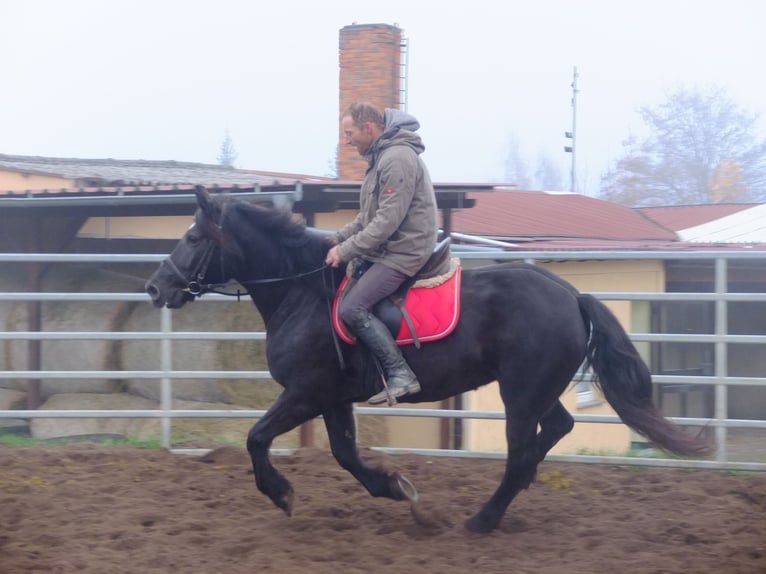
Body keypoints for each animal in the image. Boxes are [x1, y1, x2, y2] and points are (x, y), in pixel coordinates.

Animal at [144, 187, 708, 532]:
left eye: (192, 237)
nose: (155, 287)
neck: (301, 292)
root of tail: (570, 294)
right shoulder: (332, 397)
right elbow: (344, 454)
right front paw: (393, 488)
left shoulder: (305, 392)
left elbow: (256, 438)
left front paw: (281, 493)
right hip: (535, 390)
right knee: (557, 429)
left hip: (520, 394)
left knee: (522, 451)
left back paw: (484, 518)